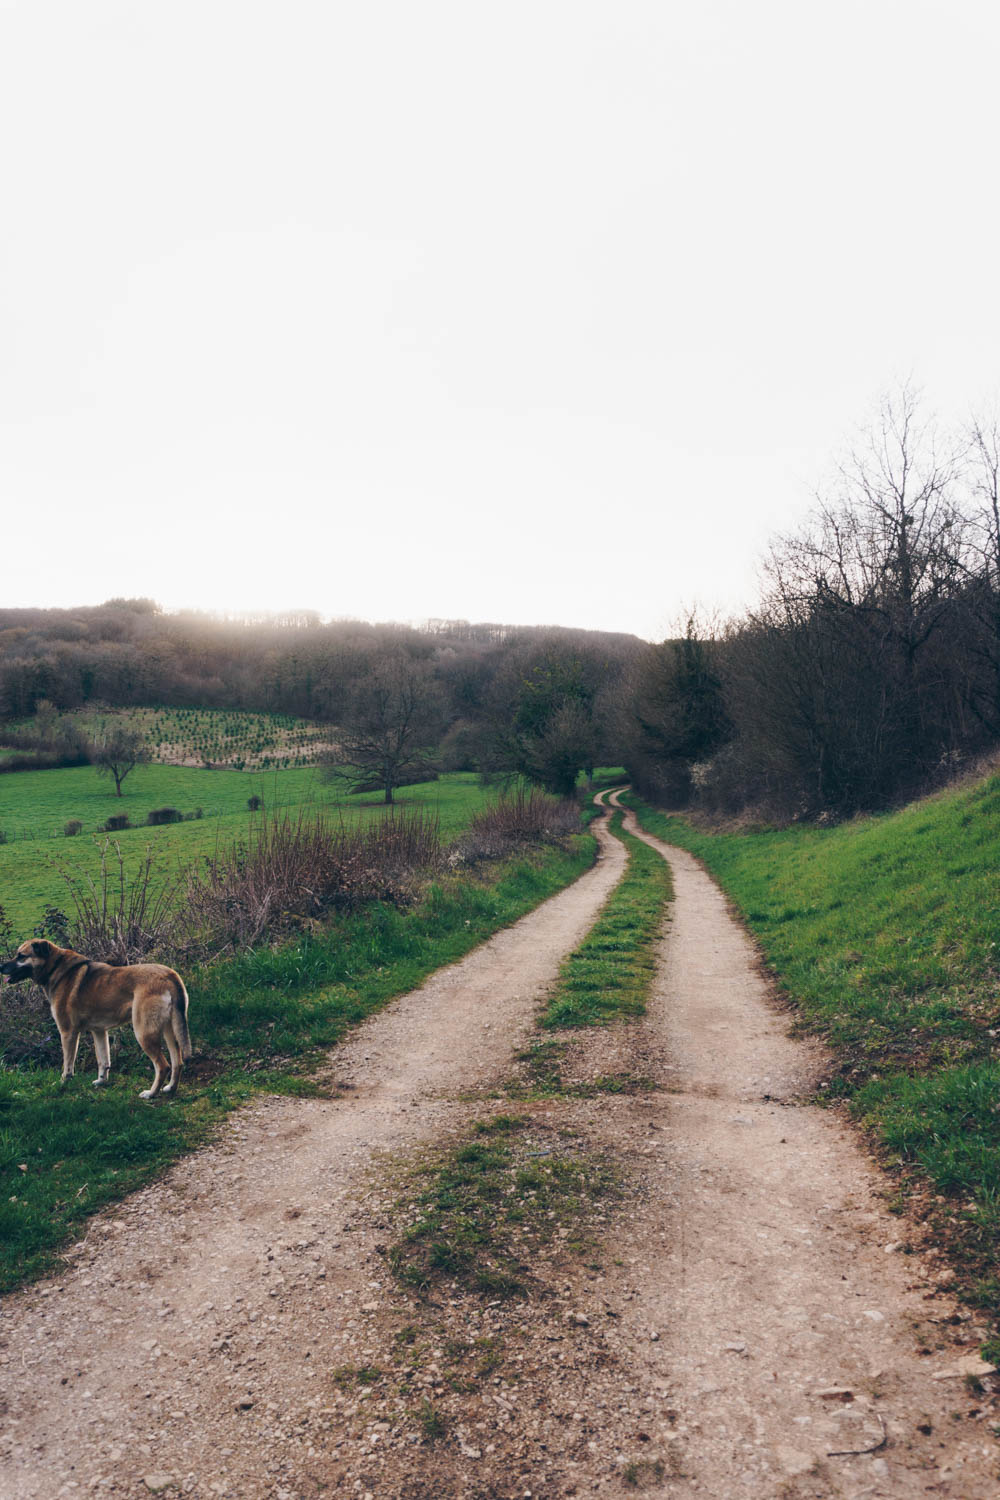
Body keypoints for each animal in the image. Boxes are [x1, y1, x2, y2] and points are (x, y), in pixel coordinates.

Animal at [1, 942, 191, 1098]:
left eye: (21, 956)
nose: (1, 966)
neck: (56, 968)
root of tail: (169, 975)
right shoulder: (99, 1031)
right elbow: (104, 1060)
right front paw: (101, 1081)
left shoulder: (68, 1032)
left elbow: (67, 1065)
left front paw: (63, 1083)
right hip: (169, 1031)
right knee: (178, 1062)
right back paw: (170, 1088)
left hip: (144, 1033)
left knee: (163, 1065)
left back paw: (151, 1094)